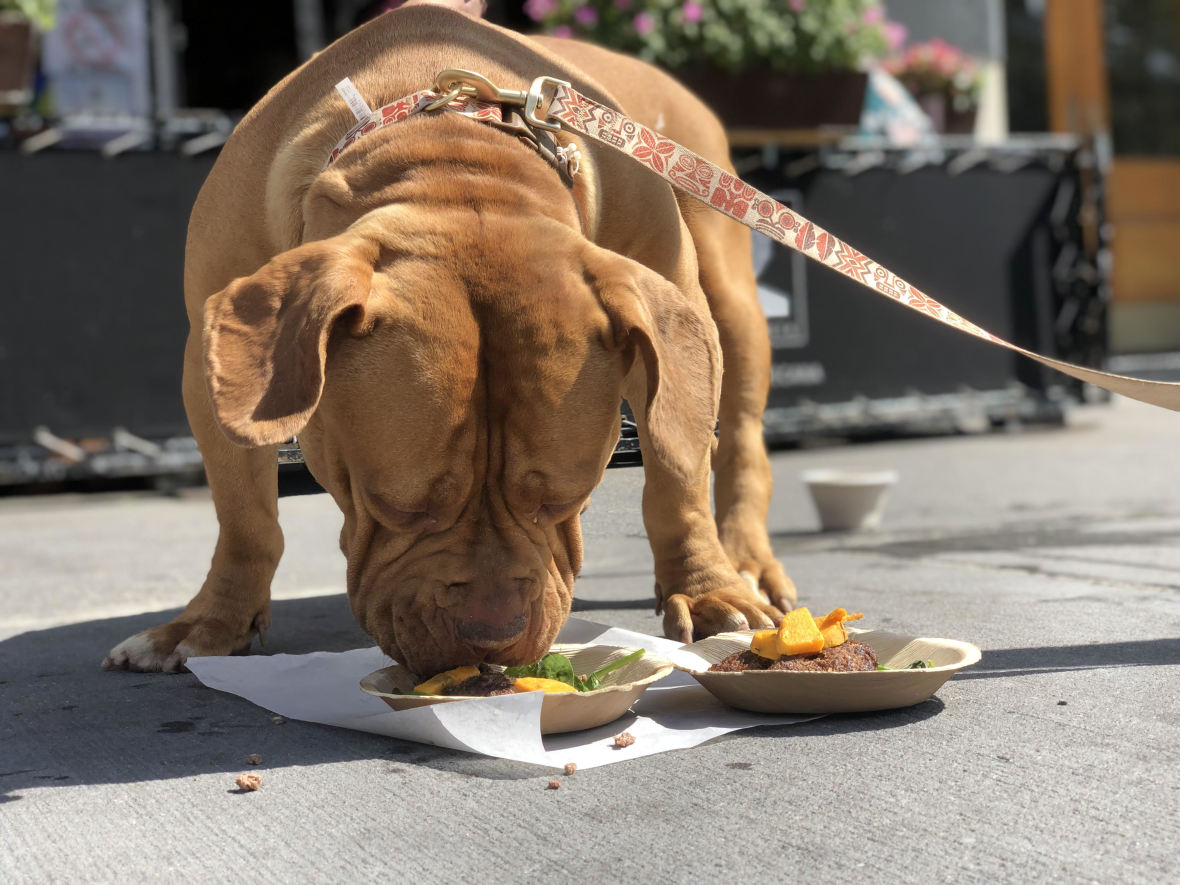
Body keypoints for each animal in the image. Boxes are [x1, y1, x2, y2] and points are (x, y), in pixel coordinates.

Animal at [101, 6, 792, 674]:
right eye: (394, 504)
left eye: (568, 497)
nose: (491, 636)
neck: (452, 157)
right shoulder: (212, 367)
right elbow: (245, 514)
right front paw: (210, 625)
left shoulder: (668, 321)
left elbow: (677, 470)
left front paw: (706, 592)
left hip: (728, 308)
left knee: (738, 439)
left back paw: (746, 565)